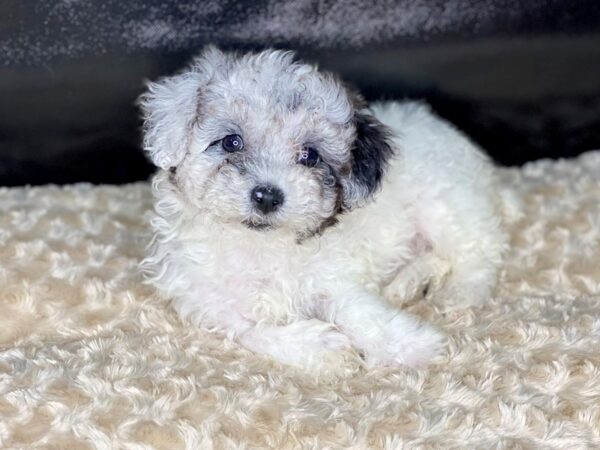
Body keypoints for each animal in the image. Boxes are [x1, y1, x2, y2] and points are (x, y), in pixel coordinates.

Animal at [139, 46, 506, 370]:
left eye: (310, 156)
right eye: (231, 142)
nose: (267, 196)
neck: (258, 246)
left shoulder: (331, 277)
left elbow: (356, 311)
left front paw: (408, 346)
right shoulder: (213, 304)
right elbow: (255, 333)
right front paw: (324, 349)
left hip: (445, 206)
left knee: (479, 253)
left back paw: (459, 292)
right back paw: (410, 283)